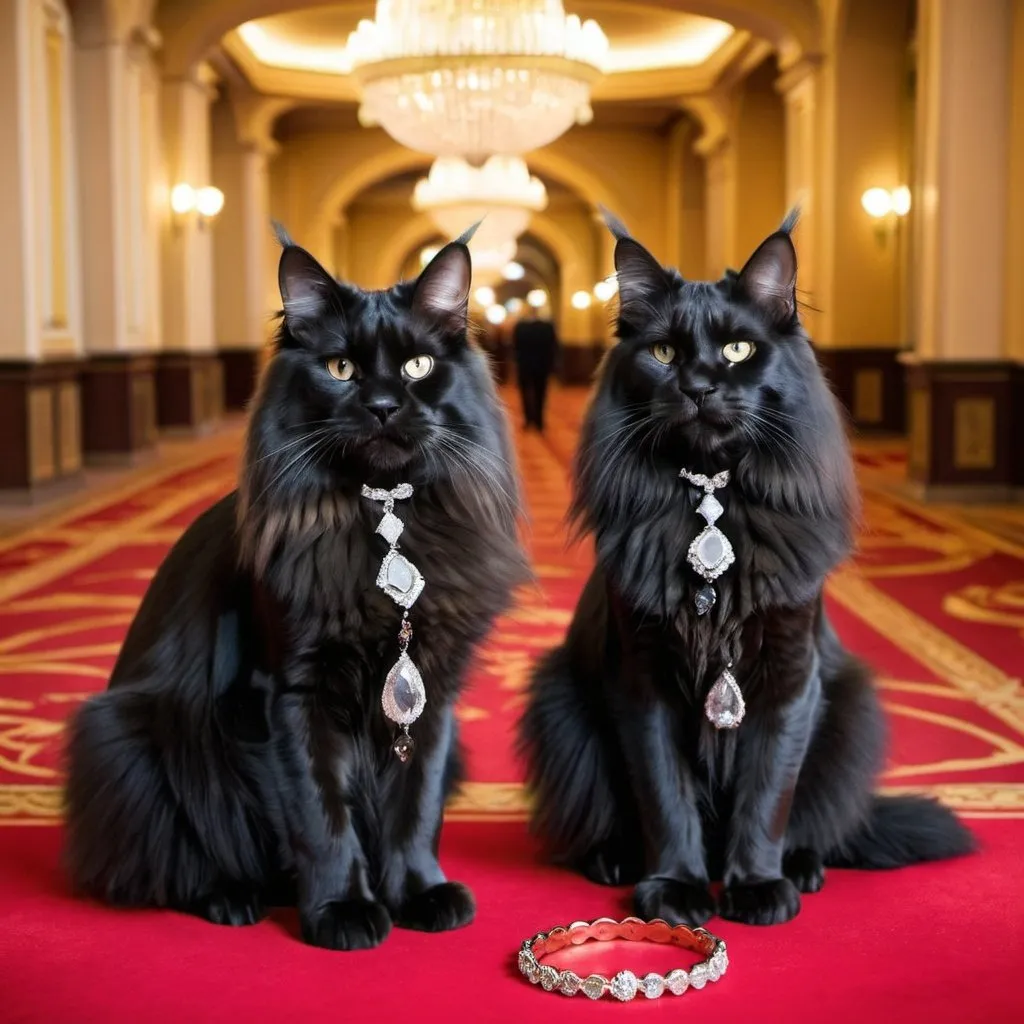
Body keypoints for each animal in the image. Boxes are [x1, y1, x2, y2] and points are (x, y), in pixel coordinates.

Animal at [64, 228, 528, 946]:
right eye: (340, 369)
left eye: (418, 366)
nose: (383, 405)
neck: (381, 516)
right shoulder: (287, 693)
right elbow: (319, 815)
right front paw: (342, 908)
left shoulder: (428, 694)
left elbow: (415, 807)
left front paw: (418, 892)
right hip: (129, 739)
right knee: (181, 850)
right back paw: (233, 897)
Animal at [520, 207, 974, 929]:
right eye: (664, 354)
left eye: (737, 351)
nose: (699, 386)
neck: (713, 498)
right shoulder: (642, 681)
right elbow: (665, 797)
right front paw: (676, 890)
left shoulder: (789, 681)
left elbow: (767, 797)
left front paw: (757, 886)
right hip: (560, 701)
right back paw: (614, 859)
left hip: (849, 708)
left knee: (813, 822)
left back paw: (803, 867)